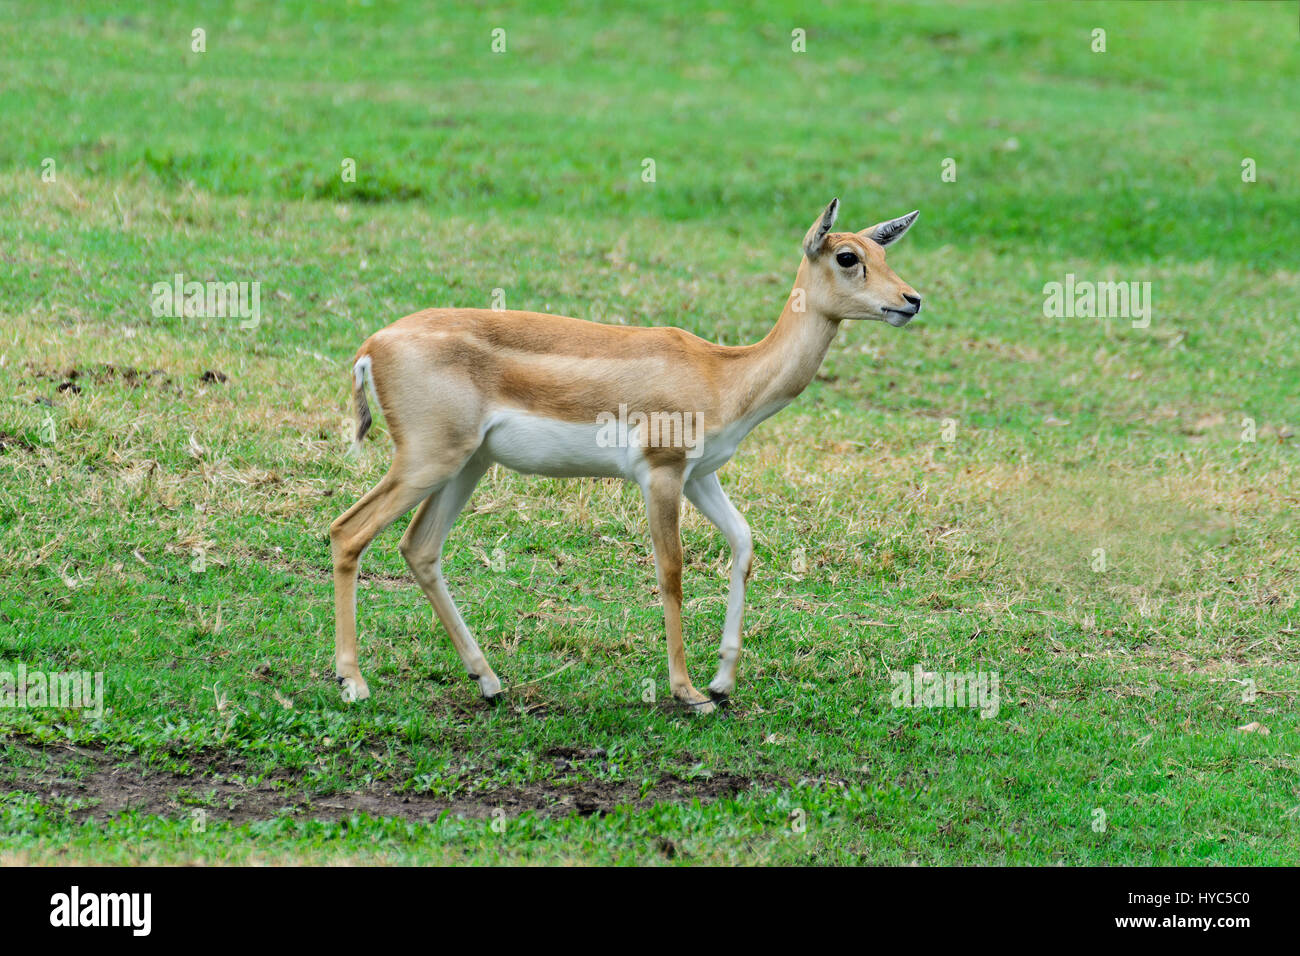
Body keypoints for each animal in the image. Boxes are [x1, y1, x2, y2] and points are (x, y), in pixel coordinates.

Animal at [330, 199, 922, 714]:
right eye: (847, 257)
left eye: (883, 252)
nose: (911, 300)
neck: (723, 374)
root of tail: (372, 345)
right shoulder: (660, 474)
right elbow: (672, 570)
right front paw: (689, 693)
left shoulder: (699, 477)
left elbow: (744, 544)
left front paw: (723, 682)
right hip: (428, 462)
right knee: (347, 532)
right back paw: (353, 682)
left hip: (465, 466)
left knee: (420, 548)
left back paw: (489, 681)